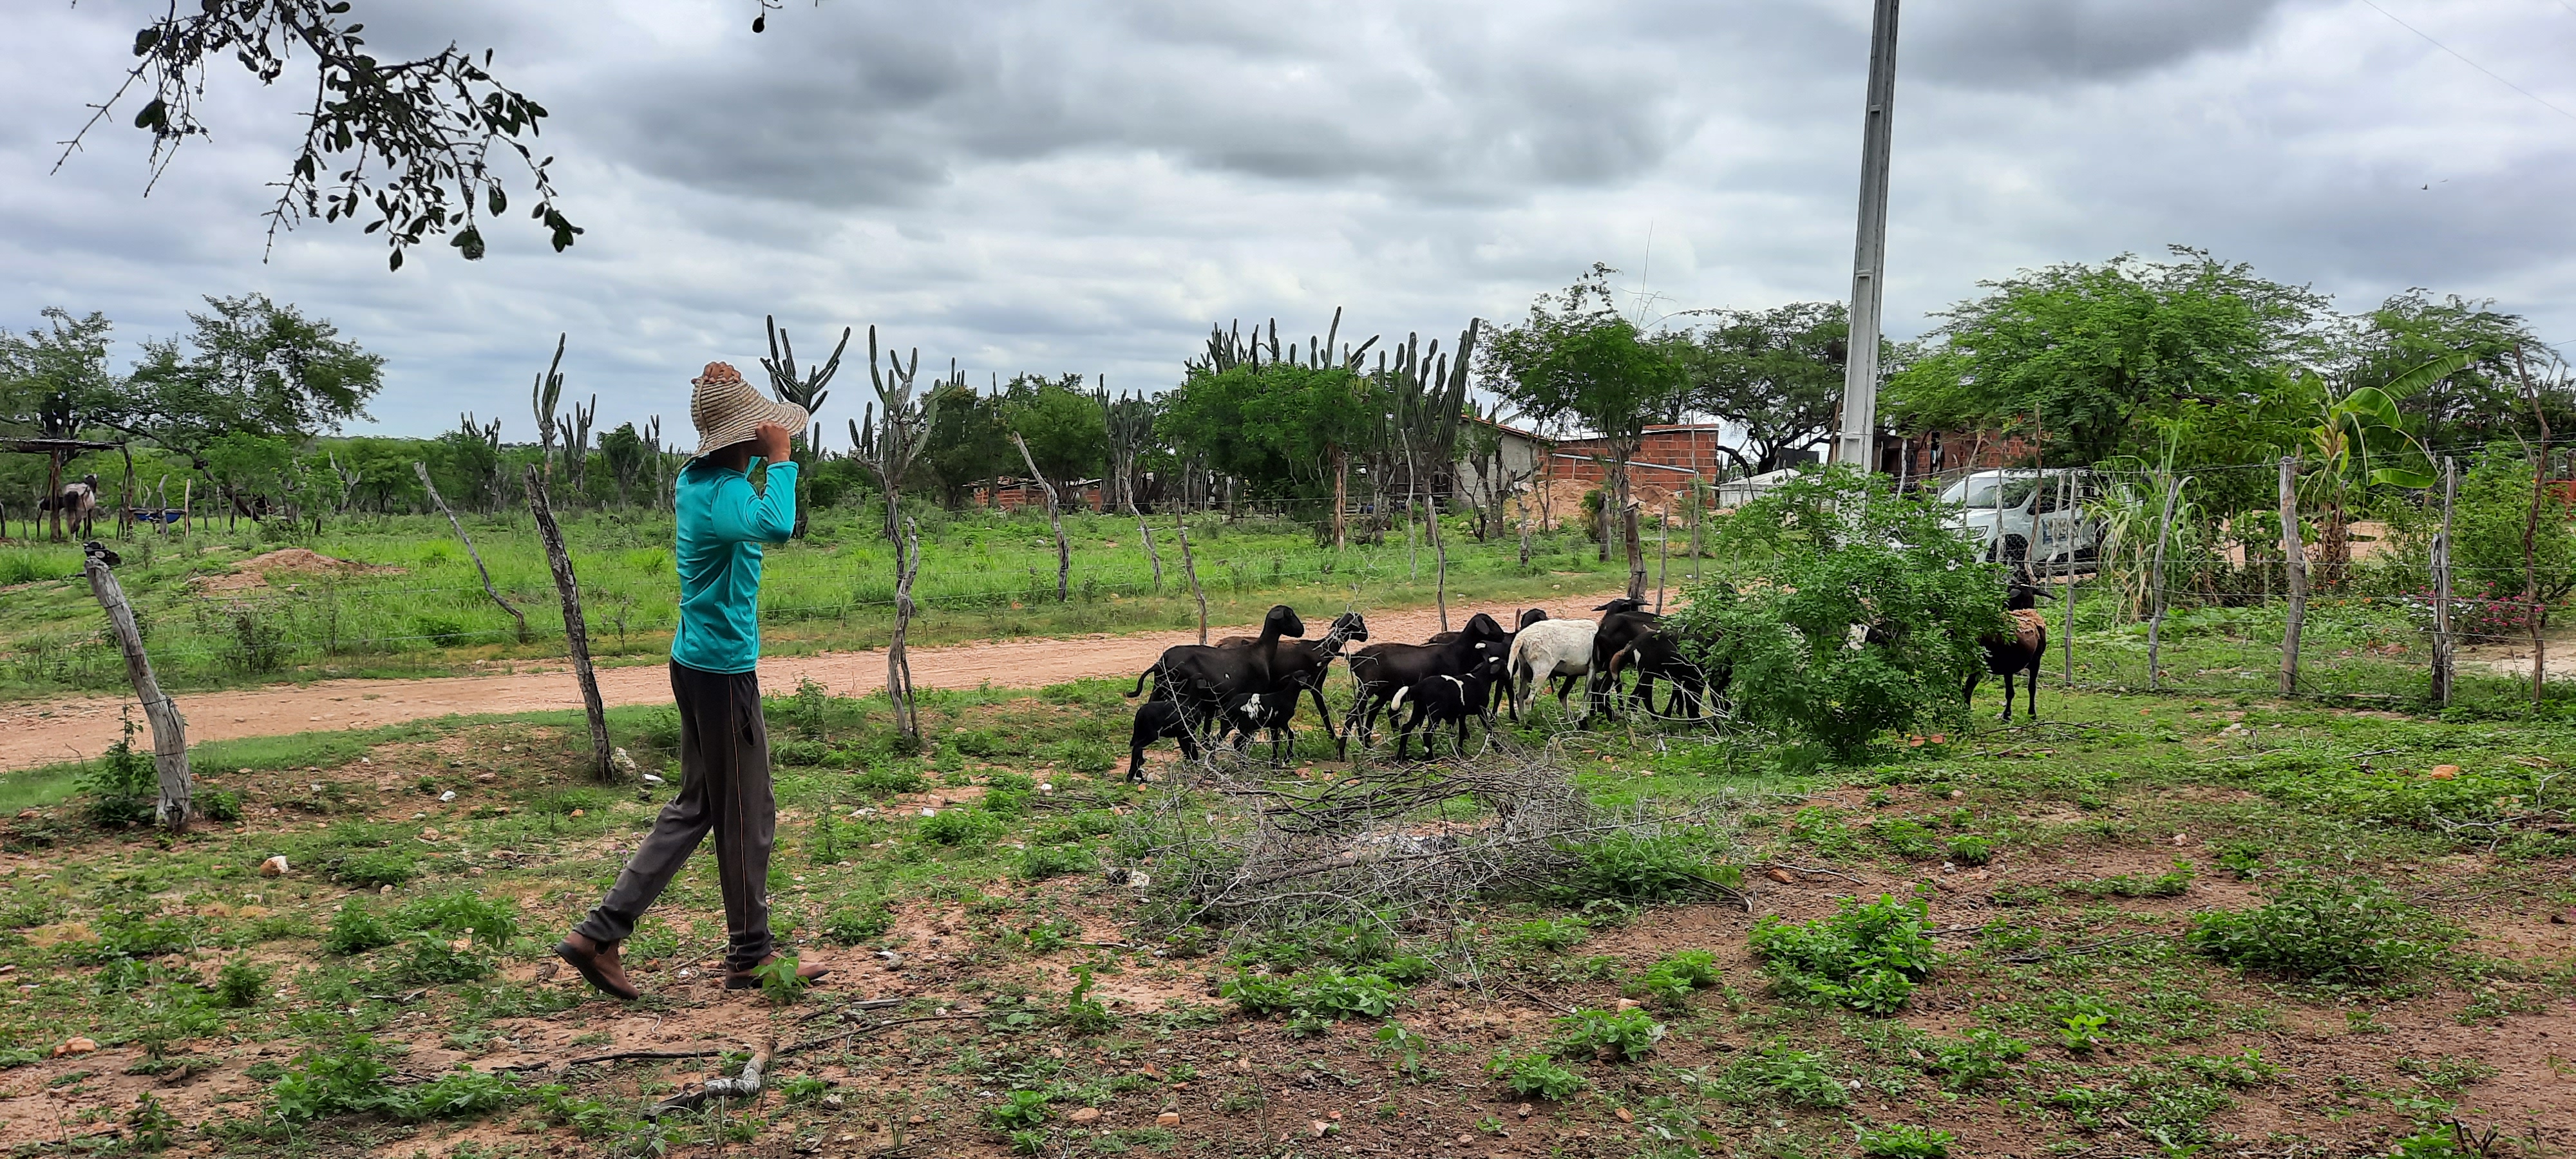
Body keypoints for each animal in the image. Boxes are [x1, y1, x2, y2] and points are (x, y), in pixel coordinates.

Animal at [1504, 616, 1587, 716]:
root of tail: (1521, 636)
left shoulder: (1574, 674)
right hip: (1542, 671)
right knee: (1528, 700)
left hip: (1526, 670)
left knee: (1520, 696)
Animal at [1968, 585, 2050, 721]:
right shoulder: (2035, 662)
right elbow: (2030, 688)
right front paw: (2031, 714)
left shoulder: (2009, 668)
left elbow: (2010, 692)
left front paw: (2007, 715)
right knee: (1967, 688)